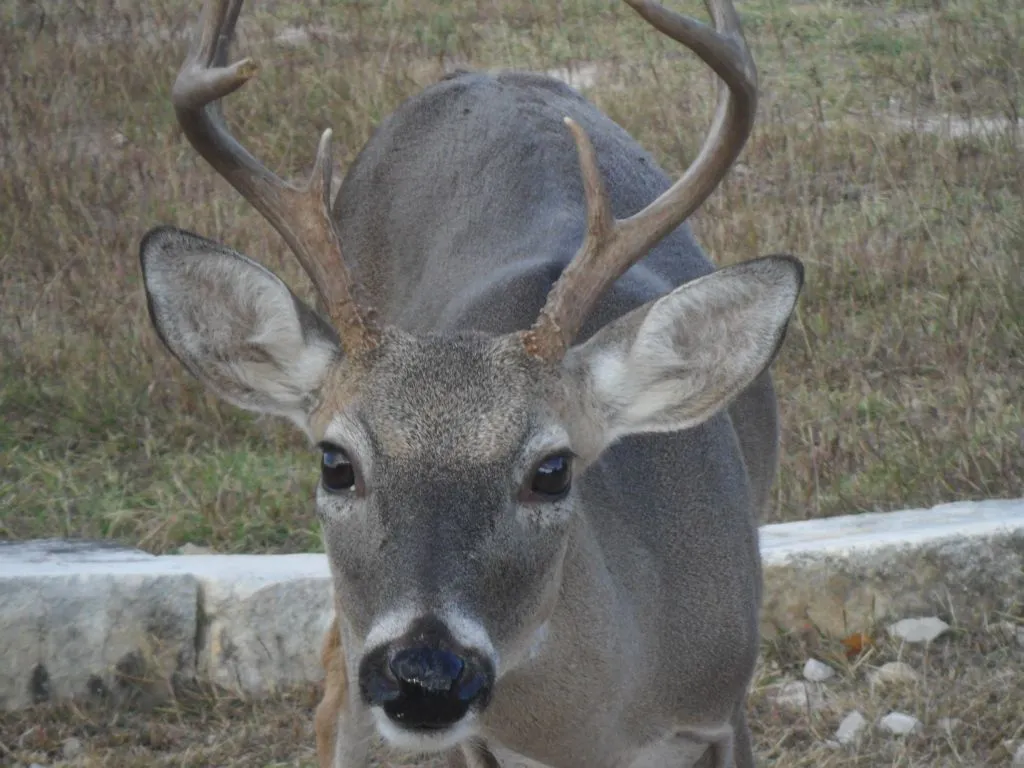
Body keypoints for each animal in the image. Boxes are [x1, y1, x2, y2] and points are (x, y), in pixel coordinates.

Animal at [139, 0, 803, 763]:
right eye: (336, 462)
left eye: (553, 470)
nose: (425, 674)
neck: (589, 736)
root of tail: (476, 74)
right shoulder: (479, 743)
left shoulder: (725, 708)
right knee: (334, 689)